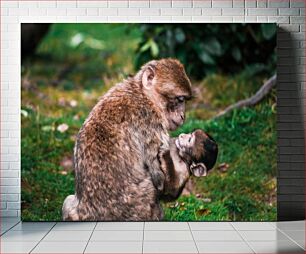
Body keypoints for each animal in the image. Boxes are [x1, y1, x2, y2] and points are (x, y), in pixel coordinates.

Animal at [62, 58, 191, 220]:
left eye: (185, 100)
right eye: (180, 99)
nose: (183, 116)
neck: (142, 94)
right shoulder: (151, 124)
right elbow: (162, 184)